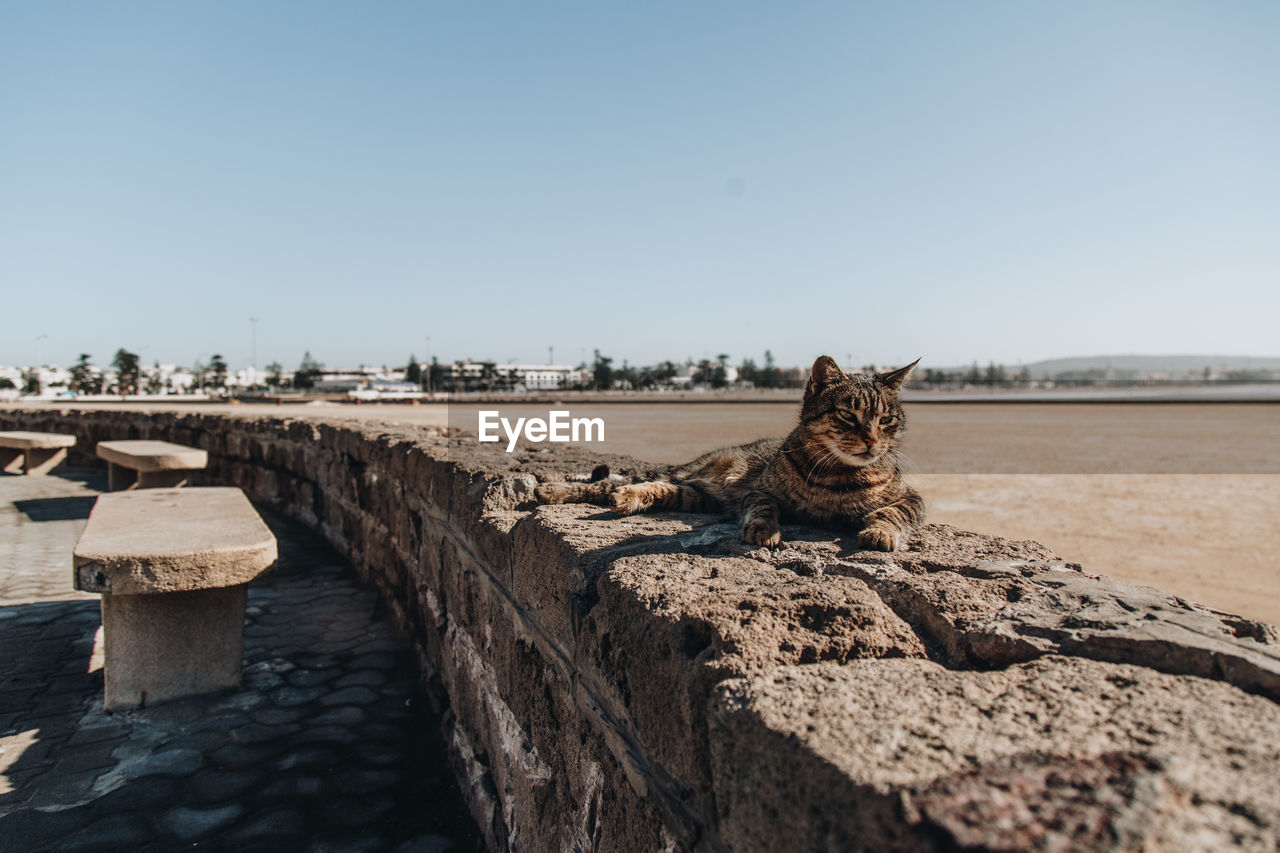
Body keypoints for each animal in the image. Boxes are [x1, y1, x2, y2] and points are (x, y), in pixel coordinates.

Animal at [535, 353, 926, 548]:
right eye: (847, 415)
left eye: (887, 419)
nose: (872, 441)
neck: (835, 474)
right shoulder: (760, 490)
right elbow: (764, 506)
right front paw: (764, 529)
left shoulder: (912, 498)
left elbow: (893, 513)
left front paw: (880, 533)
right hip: (687, 474)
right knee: (607, 483)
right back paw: (552, 489)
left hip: (695, 496)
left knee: (655, 488)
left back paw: (629, 498)